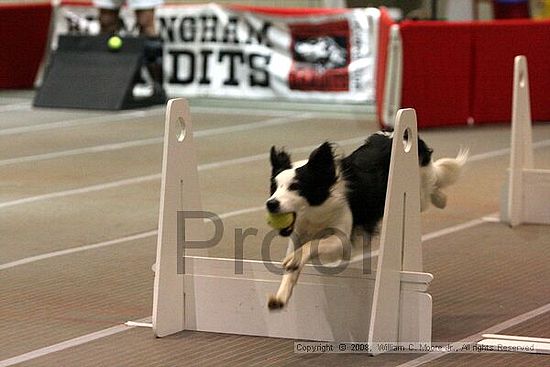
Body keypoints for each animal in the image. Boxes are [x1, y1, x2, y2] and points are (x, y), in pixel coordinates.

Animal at [266, 132, 468, 310]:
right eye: (274, 187)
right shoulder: (298, 235)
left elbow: (315, 244)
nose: (271, 204)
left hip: (418, 185)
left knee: (431, 185)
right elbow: (292, 269)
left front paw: (294, 259)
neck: (316, 210)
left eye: (295, 186)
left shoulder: (342, 240)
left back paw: (441, 198)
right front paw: (281, 296)